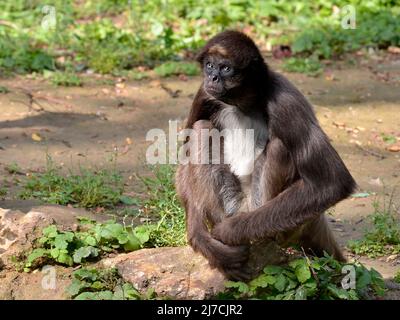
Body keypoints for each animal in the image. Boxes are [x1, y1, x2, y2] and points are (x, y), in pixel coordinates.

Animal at [175, 30, 356, 280]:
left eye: (226, 68)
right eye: (209, 65)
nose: (212, 77)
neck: (241, 103)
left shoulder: (285, 100)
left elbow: (333, 182)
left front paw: (228, 231)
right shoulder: (204, 93)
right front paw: (201, 238)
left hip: (266, 214)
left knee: (280, 146)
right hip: (231, 203)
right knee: (202, 127)